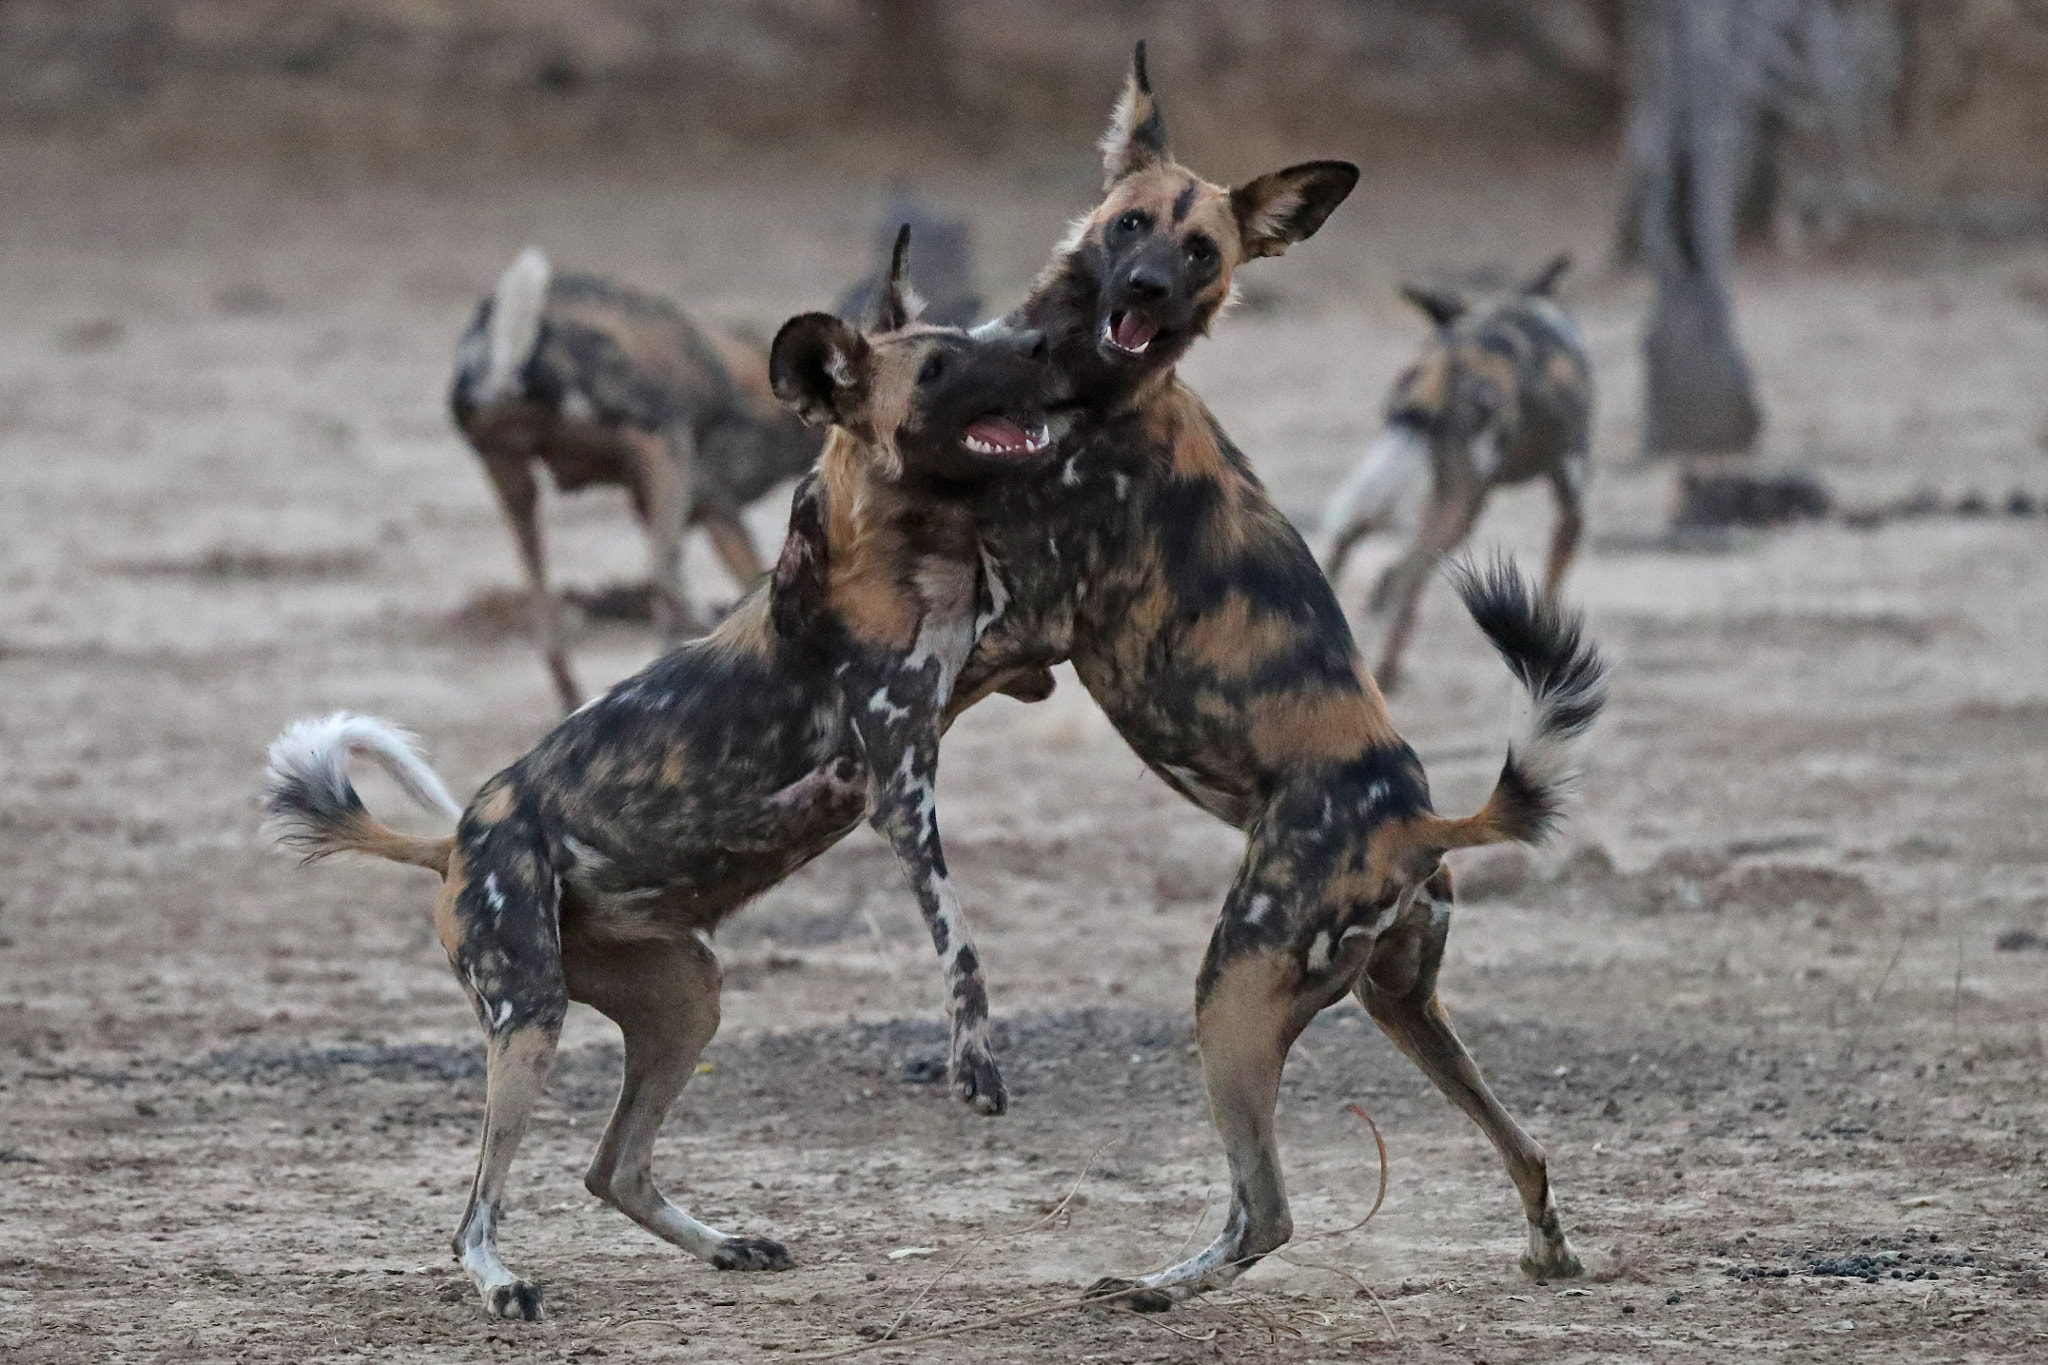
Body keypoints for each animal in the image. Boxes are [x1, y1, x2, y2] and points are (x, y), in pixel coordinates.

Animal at [454, 252, 823, 716]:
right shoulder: (710, 502)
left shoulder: (677, 502)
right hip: (664, 447)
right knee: (662, 580)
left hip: (517, 483)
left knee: (548, 615)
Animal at [1318, 258, 1589, 695]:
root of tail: (1445, 367)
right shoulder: (1571, 503)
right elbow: (1551, 587)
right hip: (1463, 507)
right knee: (1404, 576)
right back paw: (1386, 670)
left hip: (1407, 481)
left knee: (1348, 542)